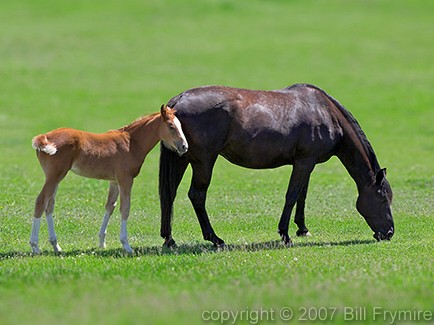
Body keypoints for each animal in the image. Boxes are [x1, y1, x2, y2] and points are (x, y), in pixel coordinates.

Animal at [30, 104, 186, 253]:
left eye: (180, 125)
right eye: (171, 126)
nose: (184, 146)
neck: (131, 143)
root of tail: (45, 136)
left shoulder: (114, 181)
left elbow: (110, 206)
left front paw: (102, 242)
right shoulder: (125, 180)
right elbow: (125, 208)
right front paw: (126, 245)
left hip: (56, 178)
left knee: (49, 205)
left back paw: (56, 246)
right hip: (54, 176)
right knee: (41, 201)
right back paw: (35, 246)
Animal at [159, 82, 394, 247]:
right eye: (382, 198)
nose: (390, 233)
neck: (325, 112)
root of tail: (178, 101)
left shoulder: (306, 163)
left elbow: (302, 195)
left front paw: (302, 229)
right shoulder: (304, 161)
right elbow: (292, 195)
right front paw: (285, 235)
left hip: (181, 158)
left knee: (169, 195)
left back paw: (170, 239)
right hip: (204, 161)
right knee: (197, 195)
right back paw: (215, 239)